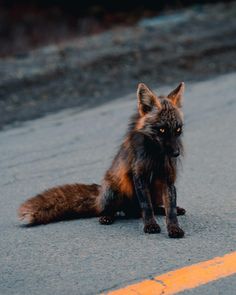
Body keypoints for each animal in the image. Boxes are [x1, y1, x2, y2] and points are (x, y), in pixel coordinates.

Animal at [18, 82, 186, 239]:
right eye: (162, 130)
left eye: (178, 130)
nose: (176, 153)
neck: (155, 157)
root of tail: (99, 194)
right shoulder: (139, 177)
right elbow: (147, 207)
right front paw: (150, 225)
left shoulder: (168, 179)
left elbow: (170, 210)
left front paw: (174, 228)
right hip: (114, 190)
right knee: (114, 211)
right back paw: (107, 217)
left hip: (155, 190)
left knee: (151, 208)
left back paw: (169, 209)